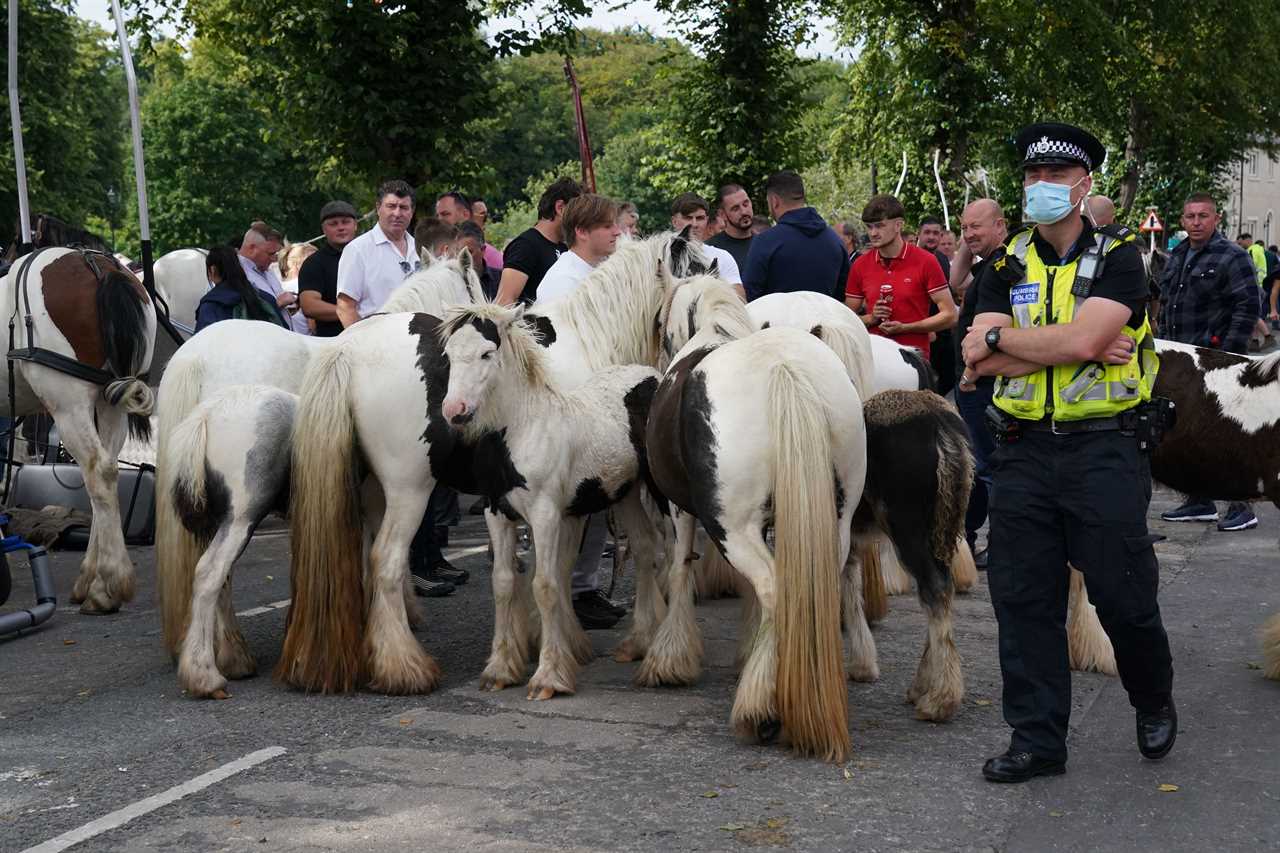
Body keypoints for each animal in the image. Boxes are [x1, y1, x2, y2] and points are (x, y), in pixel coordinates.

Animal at [3, 245, 157, 612]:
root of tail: (98, 266)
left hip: (68, 404)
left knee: (97, 471)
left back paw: (107, 586)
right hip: (110, 404)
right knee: (106, 474)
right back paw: (92, 578)